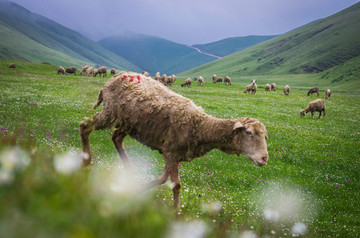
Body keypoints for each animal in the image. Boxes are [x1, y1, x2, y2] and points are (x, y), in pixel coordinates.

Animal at [80, 72, 268, 208]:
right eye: (249, 133)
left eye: (265, 136)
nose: (264, 158)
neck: (200, 126)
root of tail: (116, 76)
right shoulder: (171, 152)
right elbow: (169, 182)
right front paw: (171, 210)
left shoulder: (174, 154)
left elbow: (169, 182)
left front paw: (169, 208)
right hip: (110, 112)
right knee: (85, 126)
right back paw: (85, 160)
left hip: (128, 122)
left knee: (116, 138)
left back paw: (130, 171)